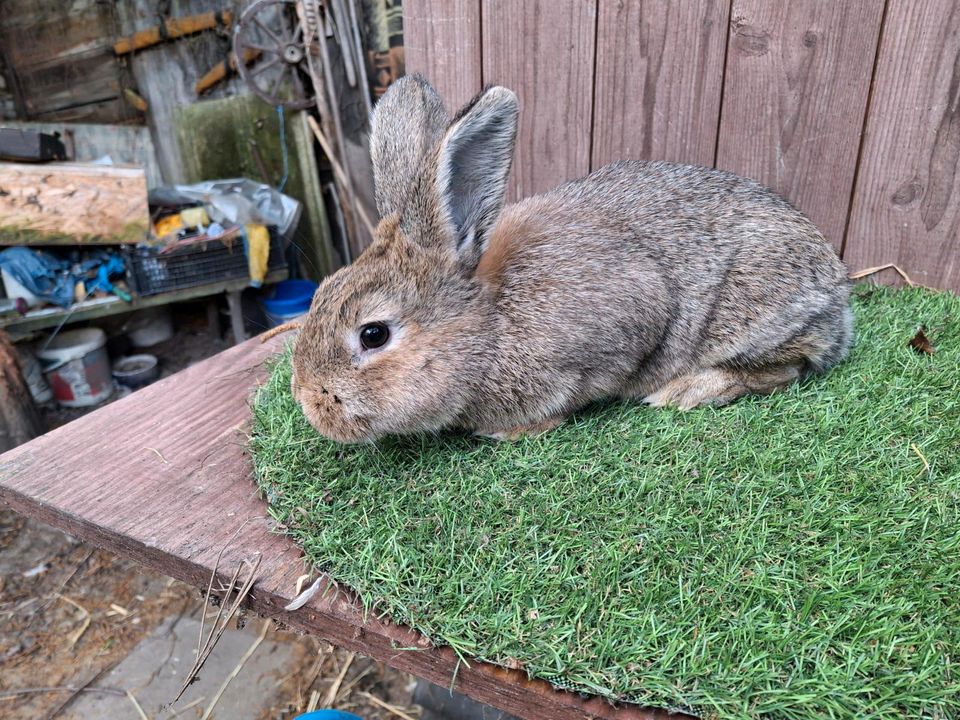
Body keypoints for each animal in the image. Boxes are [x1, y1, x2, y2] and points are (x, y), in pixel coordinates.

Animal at [288, 76, 852, 442]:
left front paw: (518, 431)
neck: (489, 323)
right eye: (321, 291)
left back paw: (686, 390)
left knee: (785, 367)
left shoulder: (625, 318)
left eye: (373, 334)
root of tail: (837, 293)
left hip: (758, 314)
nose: (309, 403)